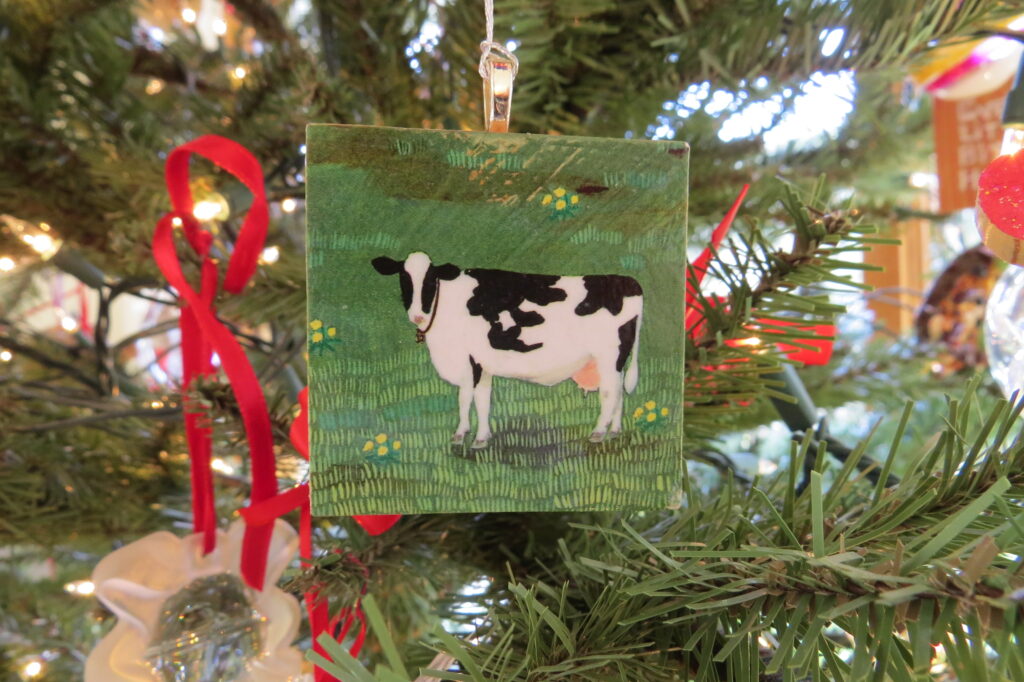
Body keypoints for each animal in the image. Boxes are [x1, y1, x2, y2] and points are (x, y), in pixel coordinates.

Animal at [371, 252, 643, 449]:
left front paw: (462, 435)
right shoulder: (483, 364)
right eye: (403, 279)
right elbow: (482, 400)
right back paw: (614, 432)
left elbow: (465, 398)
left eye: (430, 280)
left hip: (609, 356)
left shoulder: (470, 361)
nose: (417, 315)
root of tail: (628, 281)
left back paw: (598, 433)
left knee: (609, 393)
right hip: (616, 361)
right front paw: (481, 437)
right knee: (618, 391)